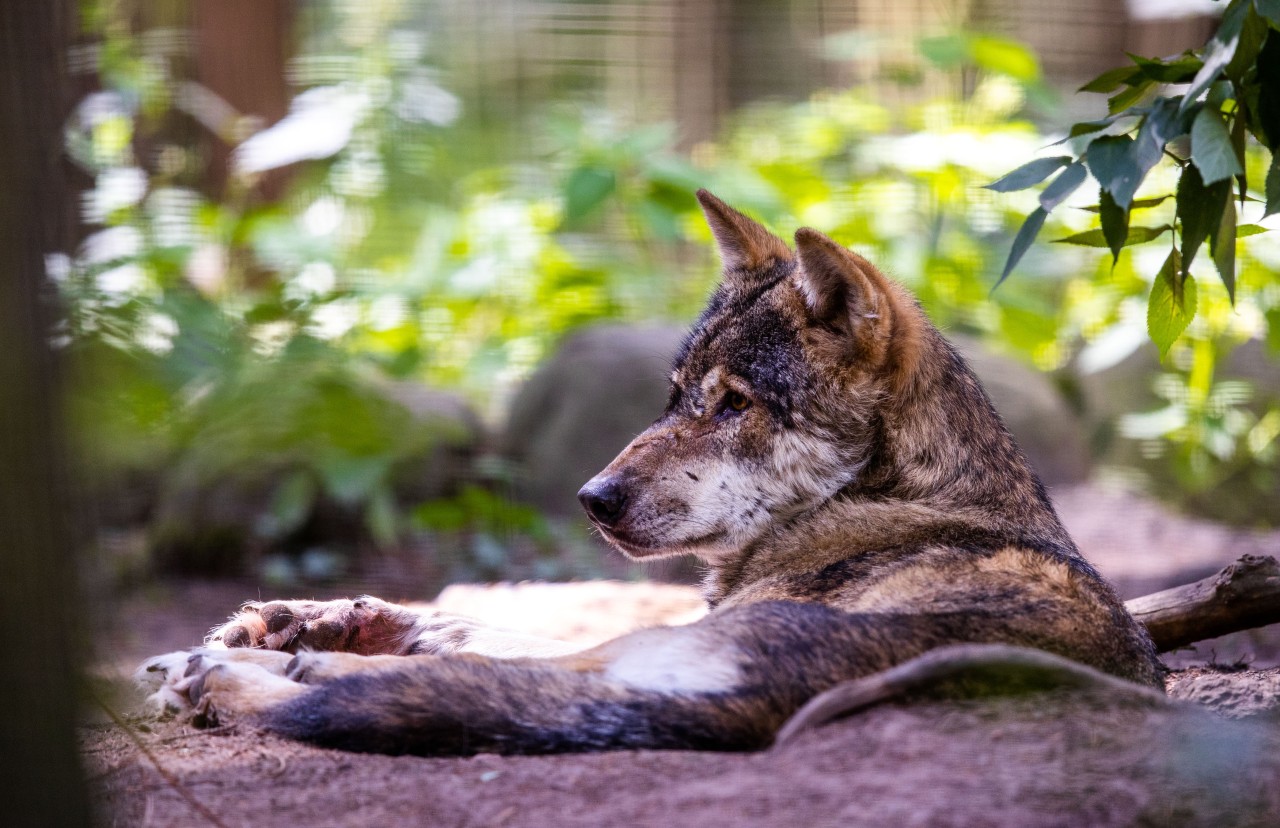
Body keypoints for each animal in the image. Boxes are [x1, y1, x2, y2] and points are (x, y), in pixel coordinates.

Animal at [135, 190, 1167, 752]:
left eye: (735, 404)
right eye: (673, 396)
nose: (592, 500)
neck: (895, 498)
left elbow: (499, 648)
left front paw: (282, 646)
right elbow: (491, 627)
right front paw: (336, 617)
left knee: (412, 691)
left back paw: (229, 670)